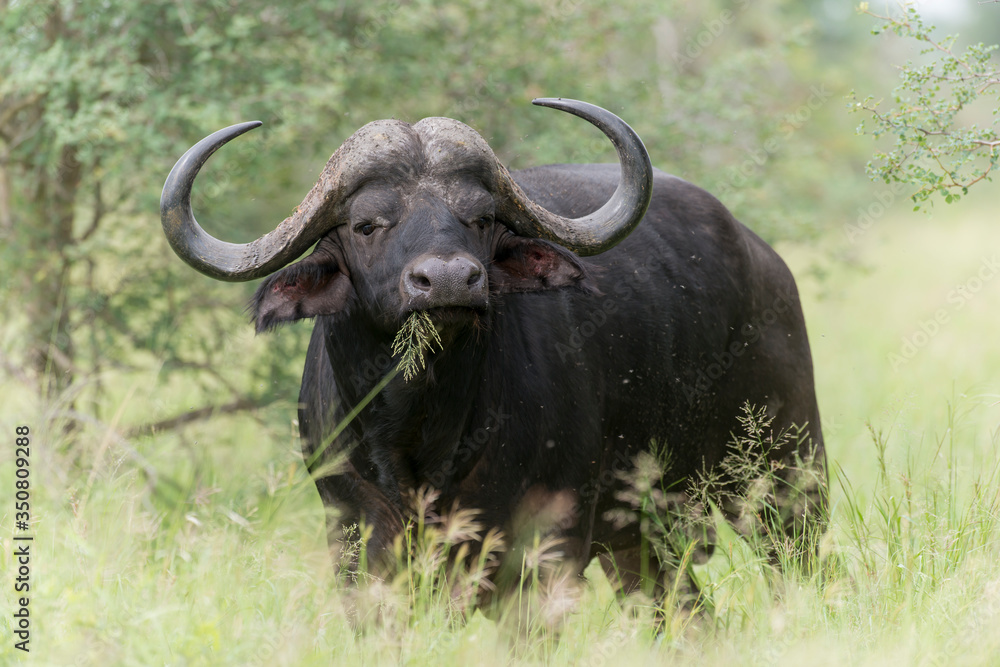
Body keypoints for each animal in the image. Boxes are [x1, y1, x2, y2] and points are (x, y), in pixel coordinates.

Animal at [160, 100, 824, 604]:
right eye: (367, 224)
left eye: (479, 217)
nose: (450, 280)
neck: (422, 430)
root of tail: (765, 263)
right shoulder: (356, 543)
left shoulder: (544, 553)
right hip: (644, 538)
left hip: (787, 480)